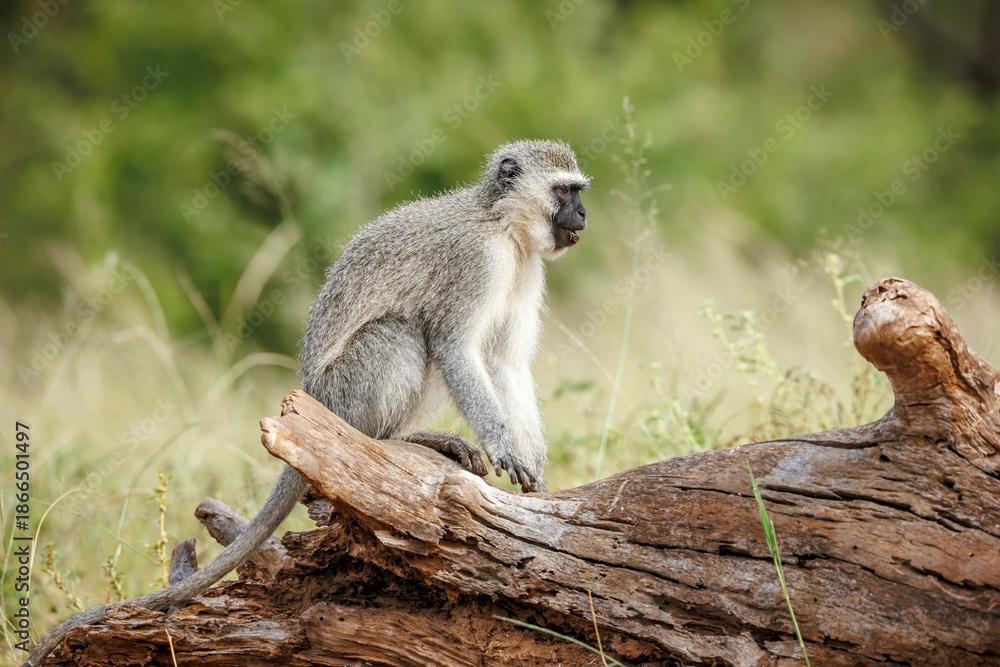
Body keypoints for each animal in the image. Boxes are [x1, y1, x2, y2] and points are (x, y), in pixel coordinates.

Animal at [24, 139, 589, 666]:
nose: (584, 215)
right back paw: (400, 439)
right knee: (404, 333)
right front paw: (502, 446)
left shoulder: (524, 270)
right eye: (565, 191)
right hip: (345, 394)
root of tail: (311, 398)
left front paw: (538, 477)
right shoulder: (476, 263)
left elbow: (507, 365)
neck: (504, 227)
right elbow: (454, 346)